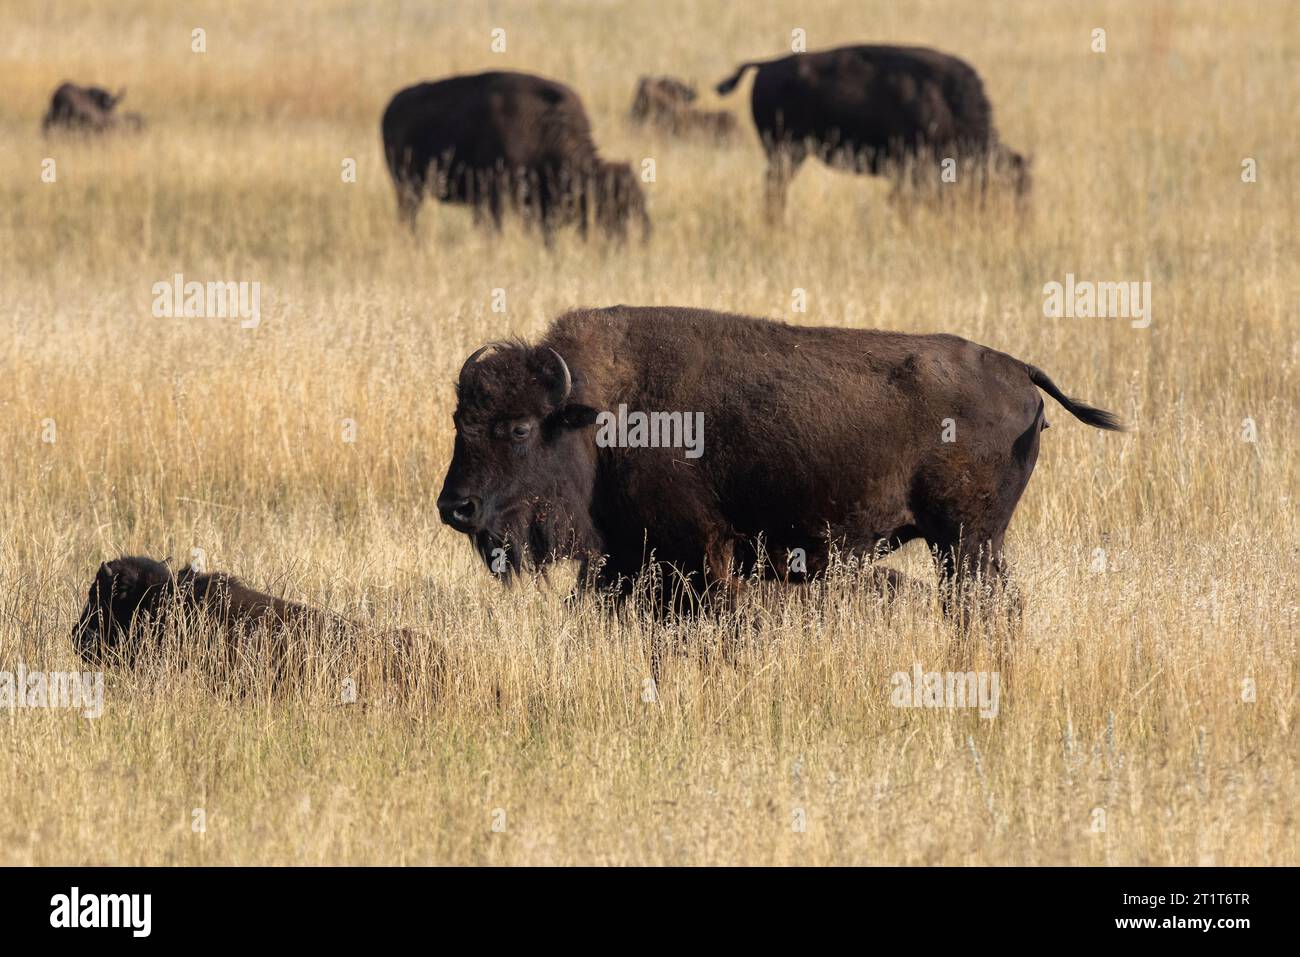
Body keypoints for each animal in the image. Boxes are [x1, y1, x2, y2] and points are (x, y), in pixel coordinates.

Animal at [438, 307, 1121, 619]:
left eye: (520, 427)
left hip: (967, 543)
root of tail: (1019, 370)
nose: (455, 507)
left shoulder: (697, 554)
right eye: (458, 422)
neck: (599, 413)